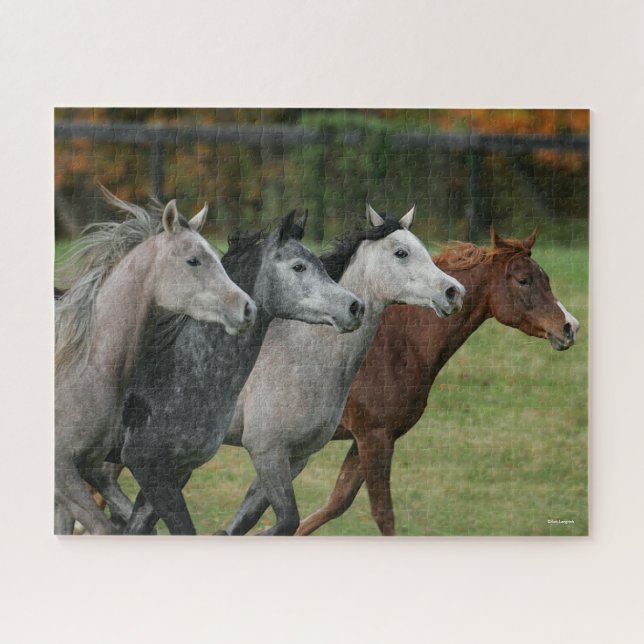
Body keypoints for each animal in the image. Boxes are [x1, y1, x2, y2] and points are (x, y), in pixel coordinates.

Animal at [55, 189, 256, 535]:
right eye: (193, 260)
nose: (247, 308)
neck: (82, 367)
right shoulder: (63, 473)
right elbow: (105, 527)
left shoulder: (83, 469)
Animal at [108, 209, 365, 535]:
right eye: (298, 266)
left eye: (322, 264)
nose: (355, 307)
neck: (176, 370)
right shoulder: (146, 463)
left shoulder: (177, 469)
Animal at [218, 204, 466, 535]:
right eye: (401, 252)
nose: (454, 292)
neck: (300, 356)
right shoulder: (267, 450)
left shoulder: (296, 457)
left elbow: (248, 522)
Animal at [296, 227, 580, 536]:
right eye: (524, 280)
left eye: (546, 279)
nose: (570, 327)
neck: (397, 345)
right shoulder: (374, 436)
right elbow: (382, 515)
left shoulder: (369, 439)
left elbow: (334, 503)